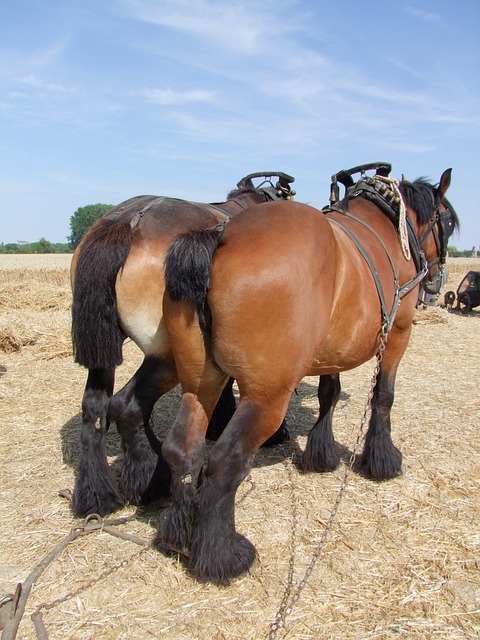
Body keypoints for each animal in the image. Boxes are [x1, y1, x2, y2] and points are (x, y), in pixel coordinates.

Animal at [70, 172, 295, 518]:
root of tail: (126, 219)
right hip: (167, 355)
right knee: (127, 406)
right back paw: (150, 479)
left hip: (102, 347)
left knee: (95, 407)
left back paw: (98, 494)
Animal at [160, 164, 459, 585]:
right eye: (446, 220)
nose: (437, 280)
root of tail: (220, 235)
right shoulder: (399, 333)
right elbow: (383, 396)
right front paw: (382, 460)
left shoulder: (332, 350)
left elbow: (328, 395)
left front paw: (321, 454)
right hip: (266, 397)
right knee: (225, 461)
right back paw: (223, 556)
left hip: (200, 384)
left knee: (182, 448)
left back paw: (180, 537)